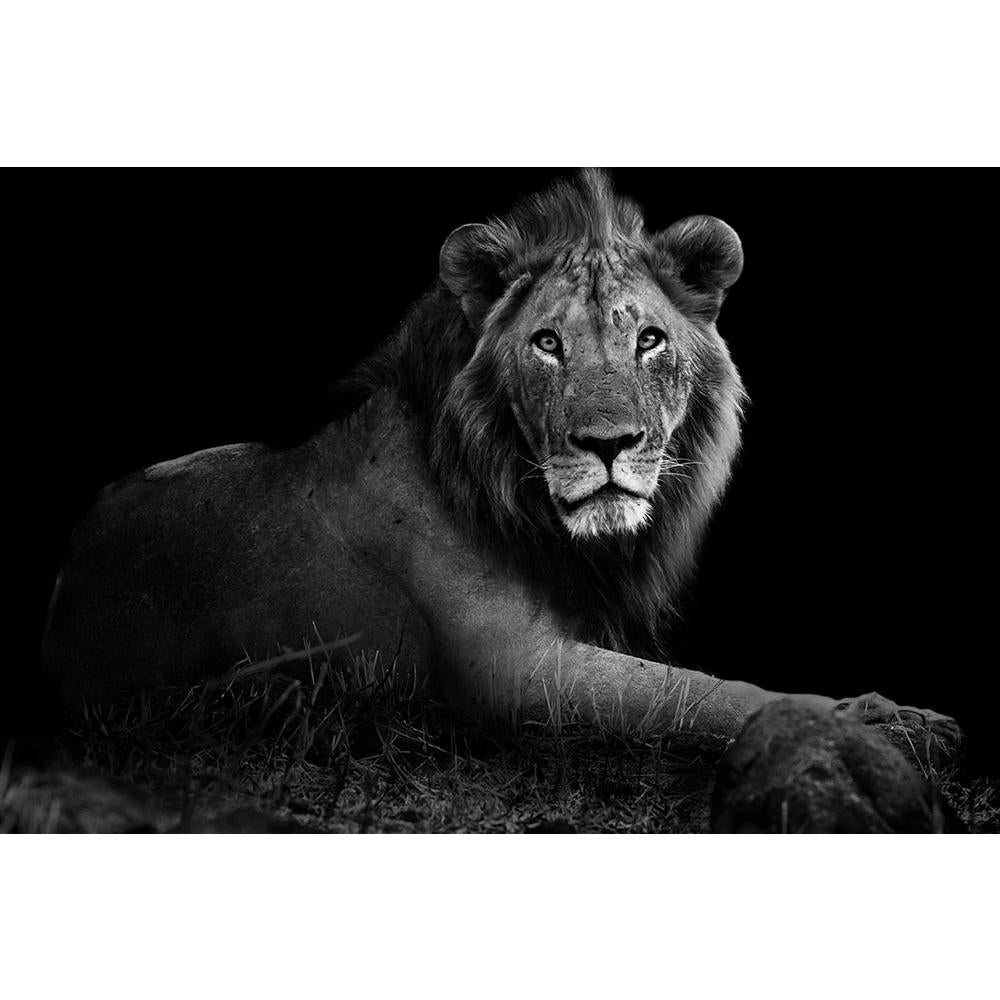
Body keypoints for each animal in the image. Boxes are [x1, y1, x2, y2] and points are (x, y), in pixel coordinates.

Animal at [41, 170, 960, 752]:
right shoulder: (511, 672)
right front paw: (876, 719)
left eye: (649, 339)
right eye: (547, 344)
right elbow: (699, 693)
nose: (609, 445)